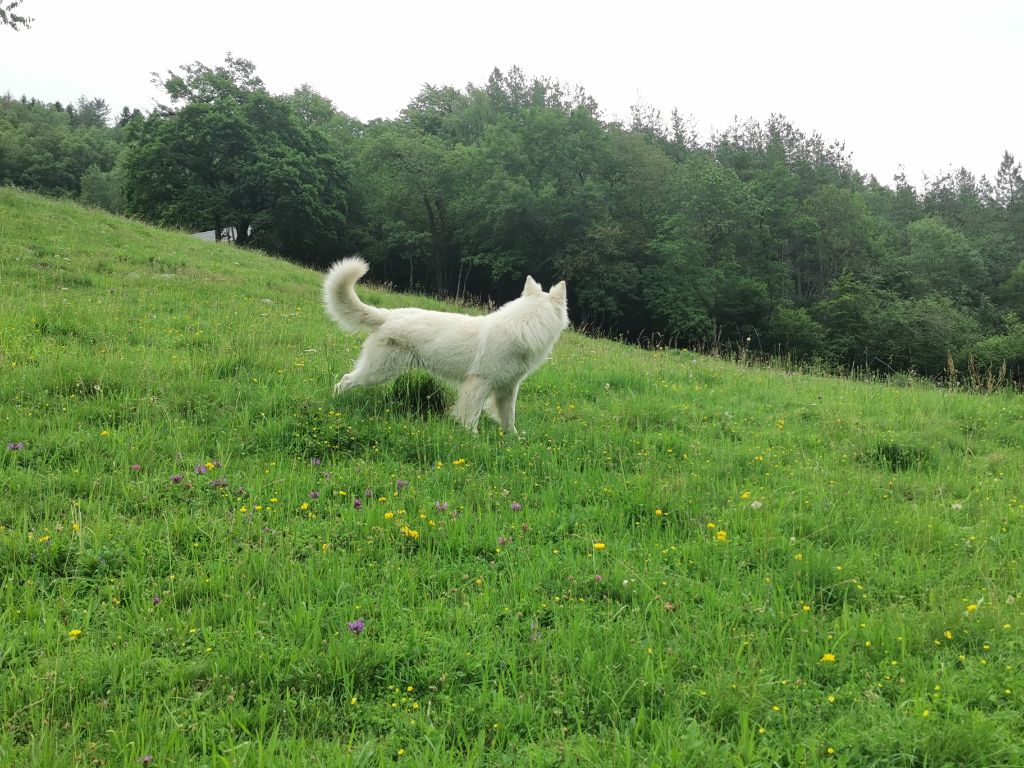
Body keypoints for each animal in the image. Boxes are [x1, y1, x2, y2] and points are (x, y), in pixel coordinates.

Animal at [323, 260, 569, 434]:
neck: (524, 324)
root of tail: (388, 315)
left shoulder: (508, 389)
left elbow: (509, 418)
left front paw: (514, 439)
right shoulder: (478, 384)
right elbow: (471, 416)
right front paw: (472, 437)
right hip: (378, 372)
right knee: (346, 380)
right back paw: (335, 403)